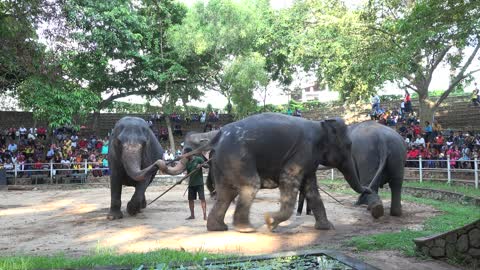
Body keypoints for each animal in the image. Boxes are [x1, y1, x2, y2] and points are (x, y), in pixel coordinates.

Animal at [163, 113, 370, 233]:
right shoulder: (302, 152)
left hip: (224, 162)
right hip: (238, 157)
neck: (320, 125)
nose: (368, 190)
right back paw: (246, 229)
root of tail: (219, 134)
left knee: (226, 193)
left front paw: (326, 228)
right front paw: (270, 221)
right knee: (249, 186)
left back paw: (218, 228)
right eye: (349, 145)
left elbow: (311, 188)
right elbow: (288, 179)